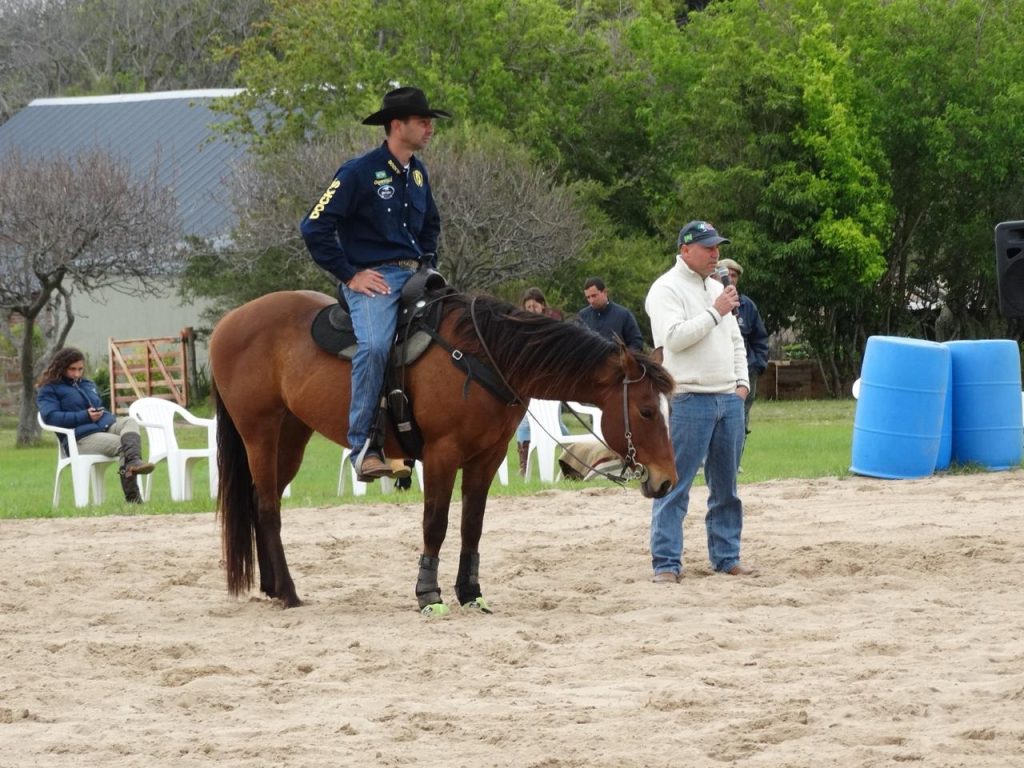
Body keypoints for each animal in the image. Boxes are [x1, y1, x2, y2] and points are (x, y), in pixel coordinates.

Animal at [208, 290, 679, 618]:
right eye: (646, 410)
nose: (666, 480)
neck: (484, 355)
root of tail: (228, 324)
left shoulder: (486, 457)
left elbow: (472, 525)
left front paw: (471, 593)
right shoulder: (442, 454)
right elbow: (435, 523)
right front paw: (428, 595)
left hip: (292, 435)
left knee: (261, 501)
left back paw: (272, 587)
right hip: (260, 433)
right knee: (267, 508)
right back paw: (288, 593)